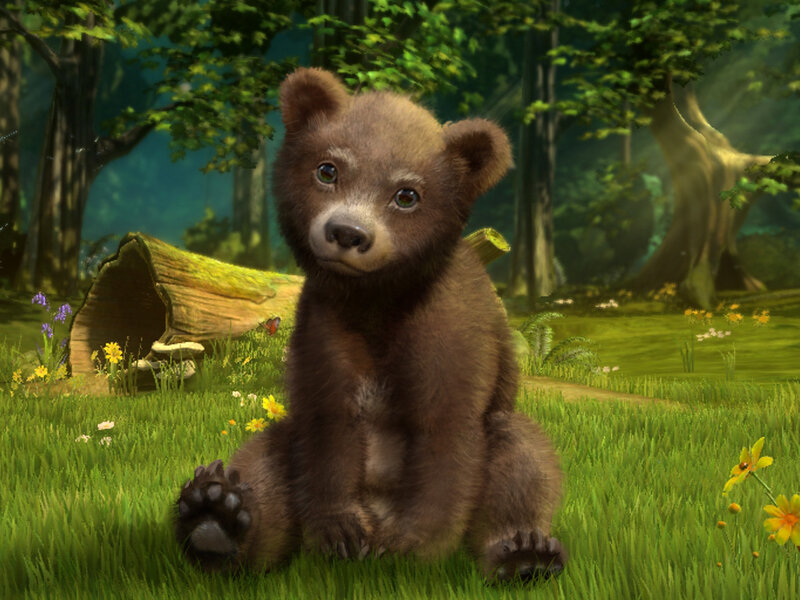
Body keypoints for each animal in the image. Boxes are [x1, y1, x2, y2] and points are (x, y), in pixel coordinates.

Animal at [173, 67, 567, 583]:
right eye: (328, 170)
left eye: (407, 194)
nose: (347, 232)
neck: (376, 303)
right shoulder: (325, 326)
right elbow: (327, 425)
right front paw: (339, 532)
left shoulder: (451, 331)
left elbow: (446, 436)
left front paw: (410, 547)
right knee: (266, 456)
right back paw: (216, 516)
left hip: (503, 432)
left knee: (521, 453)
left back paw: (524, 553)